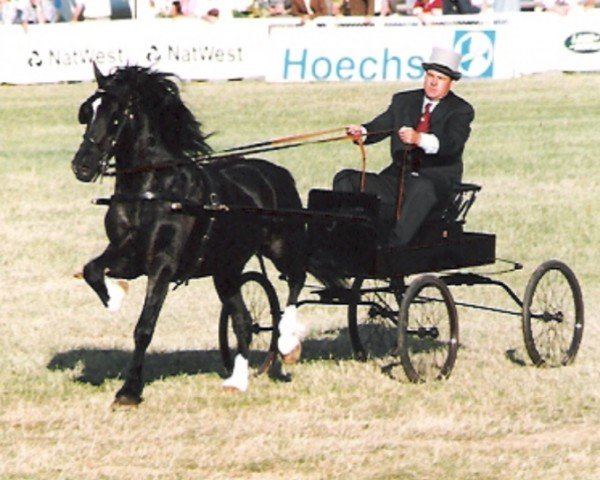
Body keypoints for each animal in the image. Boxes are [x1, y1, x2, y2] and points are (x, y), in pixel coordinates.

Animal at [73, 62, 310, 402]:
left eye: (116, 115)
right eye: (87, 111)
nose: (82, 166)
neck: (151, 192)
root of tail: (276, 172)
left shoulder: (162, 264)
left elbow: (144, 327)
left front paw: (129, 391)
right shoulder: (128, 256)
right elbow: (93, 269)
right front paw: (115, 297)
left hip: (281, 245)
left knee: (296, 278)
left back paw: (288, 343)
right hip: (226, 269)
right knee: (243, 322)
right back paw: (237, 380)